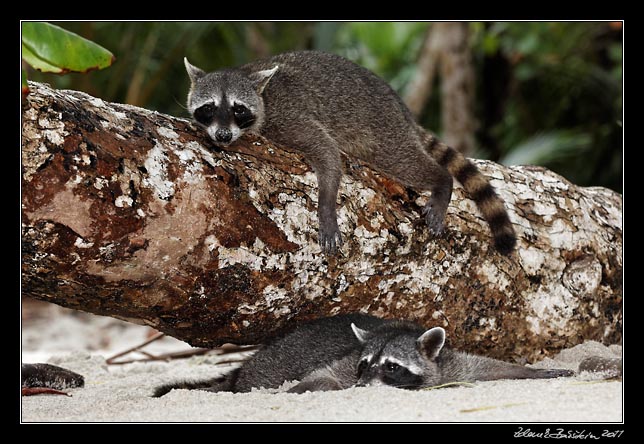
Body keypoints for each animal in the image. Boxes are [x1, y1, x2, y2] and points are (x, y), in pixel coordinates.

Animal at [182, 50, 520, 255]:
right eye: (209, 108)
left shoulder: (287, 119)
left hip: (383, 132)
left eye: (238, 109)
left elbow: (327, 153)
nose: (223, 135)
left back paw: (441, 181)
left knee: (403, 160)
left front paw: (326, 208)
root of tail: (403, 111)